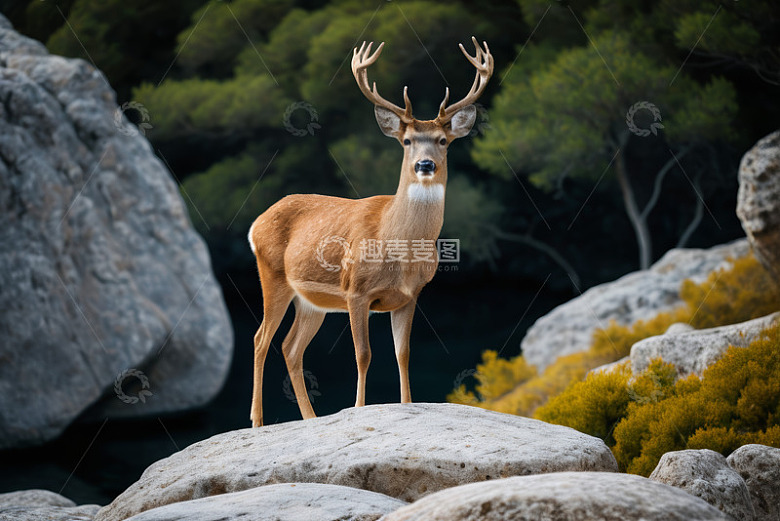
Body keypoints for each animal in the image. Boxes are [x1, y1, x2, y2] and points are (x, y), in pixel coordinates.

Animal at [247, 37, 493, 427]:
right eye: (407, 141)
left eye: (443, 140)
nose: (425, 165)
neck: (395, 243)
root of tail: (256, 223)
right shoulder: (356, 291)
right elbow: (363, 354)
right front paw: (360, 407)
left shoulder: (410, 295)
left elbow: (402, 352)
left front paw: (407, 404)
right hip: (272, 275)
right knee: (261, 339)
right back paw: (257, 421)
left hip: (310, 300)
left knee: (290, 346)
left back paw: (310, 418)